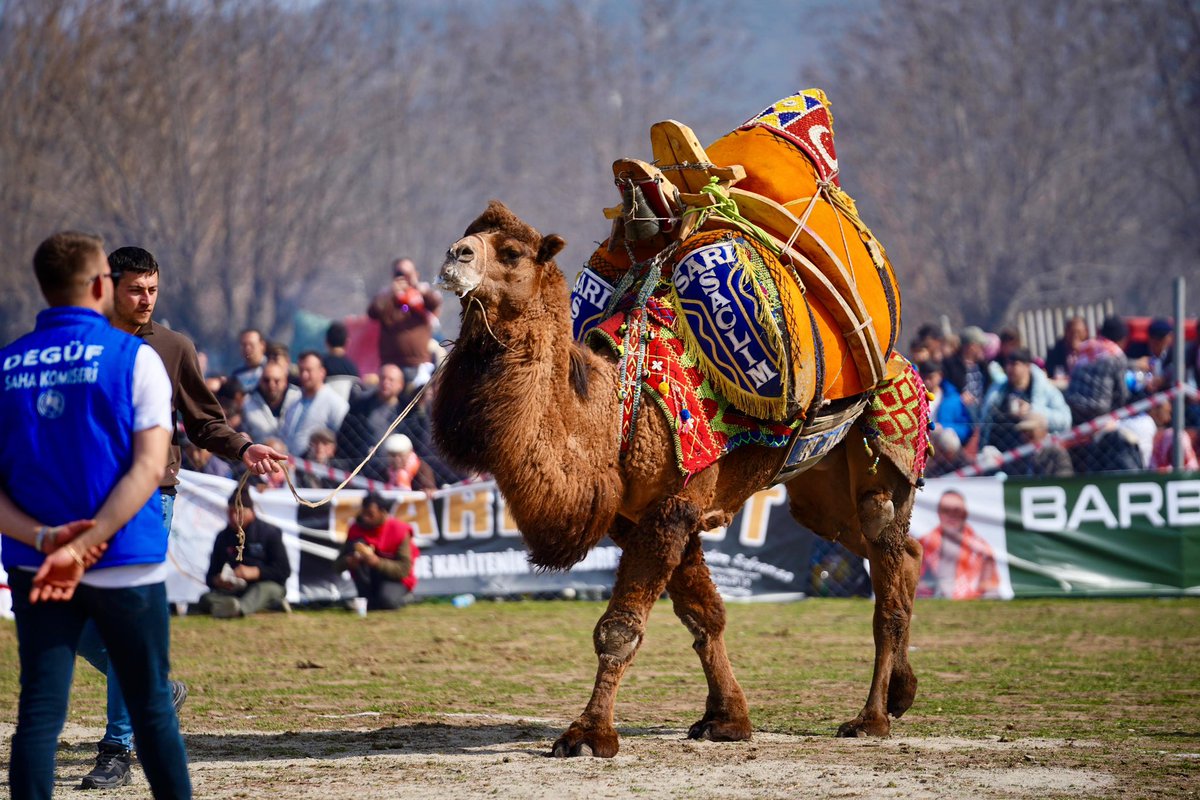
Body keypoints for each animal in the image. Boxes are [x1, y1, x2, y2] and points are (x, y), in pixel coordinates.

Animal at [434, 200, 926, 758]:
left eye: (512, 252)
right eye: (471, 234)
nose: (455, 254)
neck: (613, 414)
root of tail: (898, 360)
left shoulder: (673, 505)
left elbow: (619, 630)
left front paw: (589, 734)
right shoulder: (641, 516)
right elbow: (704, 615)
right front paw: (727, 720)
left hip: (886, 455)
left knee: (884, 573)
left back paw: (870, 718)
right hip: (818, 492)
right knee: (902, 553)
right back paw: (902, 691)